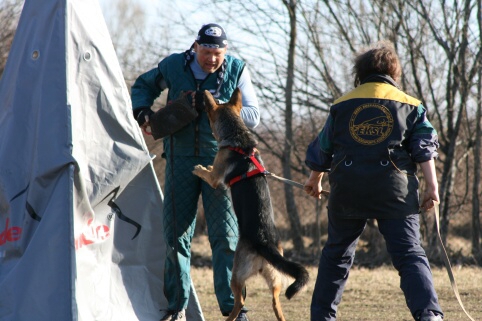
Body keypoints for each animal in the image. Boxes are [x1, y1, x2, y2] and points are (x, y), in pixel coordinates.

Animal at [192, 88, 308, 320]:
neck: (237, 135)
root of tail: (264, 244)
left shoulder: (216, 179)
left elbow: (209, 173)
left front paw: (200, 167)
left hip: (236, 275)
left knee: (240, 301)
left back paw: (230, 317)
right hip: (275, 279)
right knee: (276, 302)